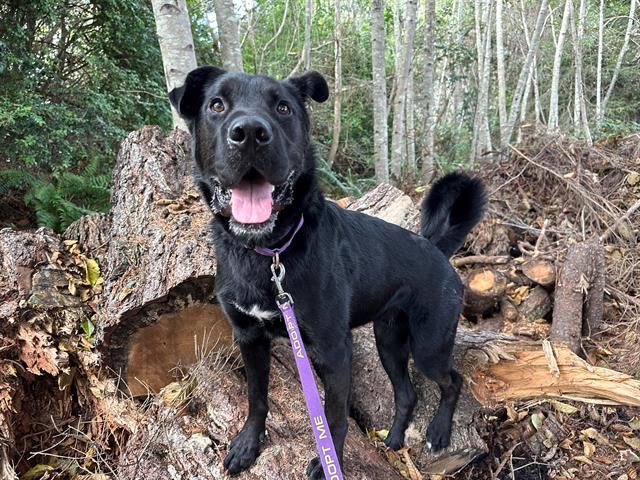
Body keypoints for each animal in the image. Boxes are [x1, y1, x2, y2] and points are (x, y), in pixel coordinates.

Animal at [169, 66, 484, 476]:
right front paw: (248, 444)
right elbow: (256, 398)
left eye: (283, 108)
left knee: (453, 381)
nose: (250, 132)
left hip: (429, 344)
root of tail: (435, 248)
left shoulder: (333, 350)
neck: (270, 253)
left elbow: (334, 416)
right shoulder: (249, 337)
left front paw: (328, 460)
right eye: (216, 105)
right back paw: (394, 439)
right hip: (389, 340)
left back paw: (439, 432)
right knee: (407, 394)